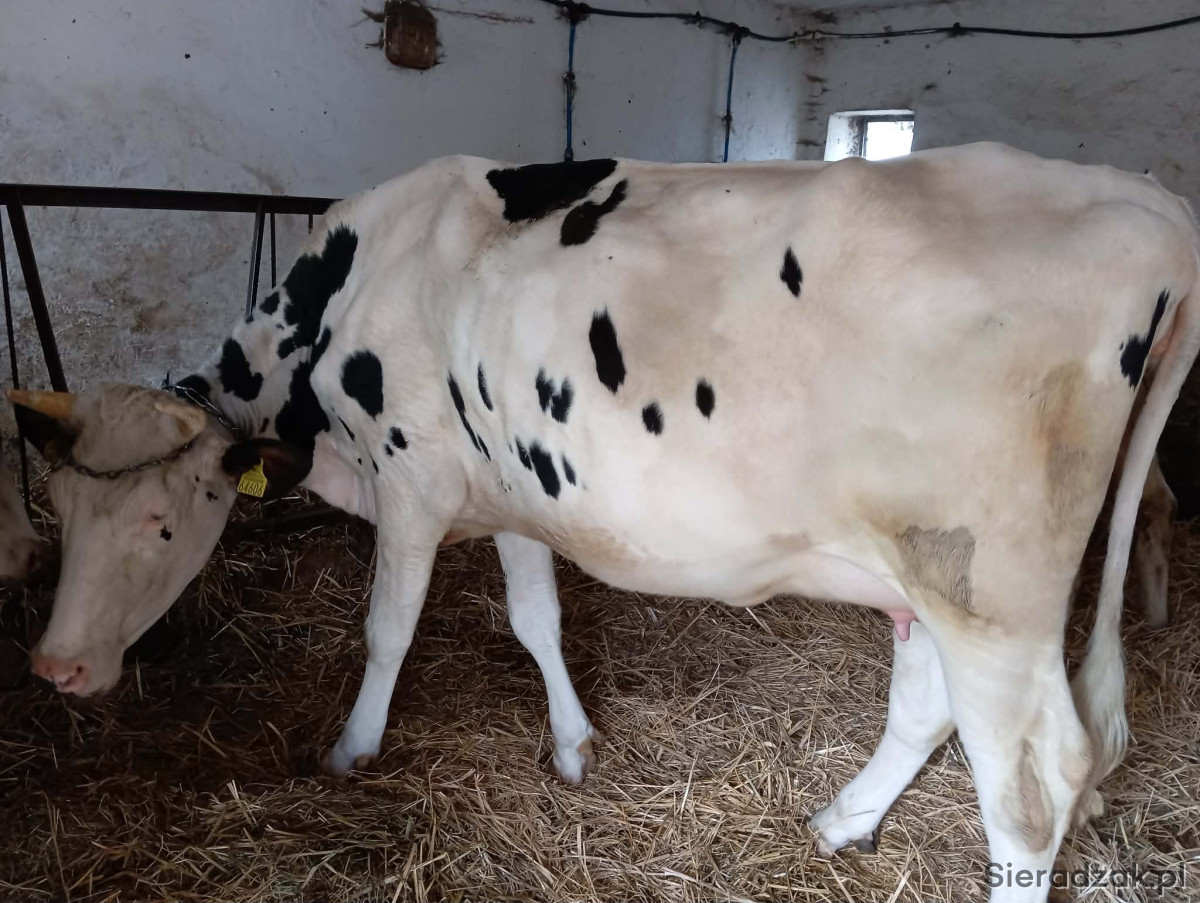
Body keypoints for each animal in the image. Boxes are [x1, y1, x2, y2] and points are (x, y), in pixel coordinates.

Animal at [10, 143, 1199, 902]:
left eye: (162, 518)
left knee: (1037, 789)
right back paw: (843, 819)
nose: (55, 667)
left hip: (988, 593)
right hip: (923, 578)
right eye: (60, 506)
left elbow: (387, 631)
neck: (344, 294)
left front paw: (351, 750)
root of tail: (1151, 205)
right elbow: (536, 618)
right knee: (927, 708)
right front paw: (575, 744)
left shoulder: (412, 478)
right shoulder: (515, 489)